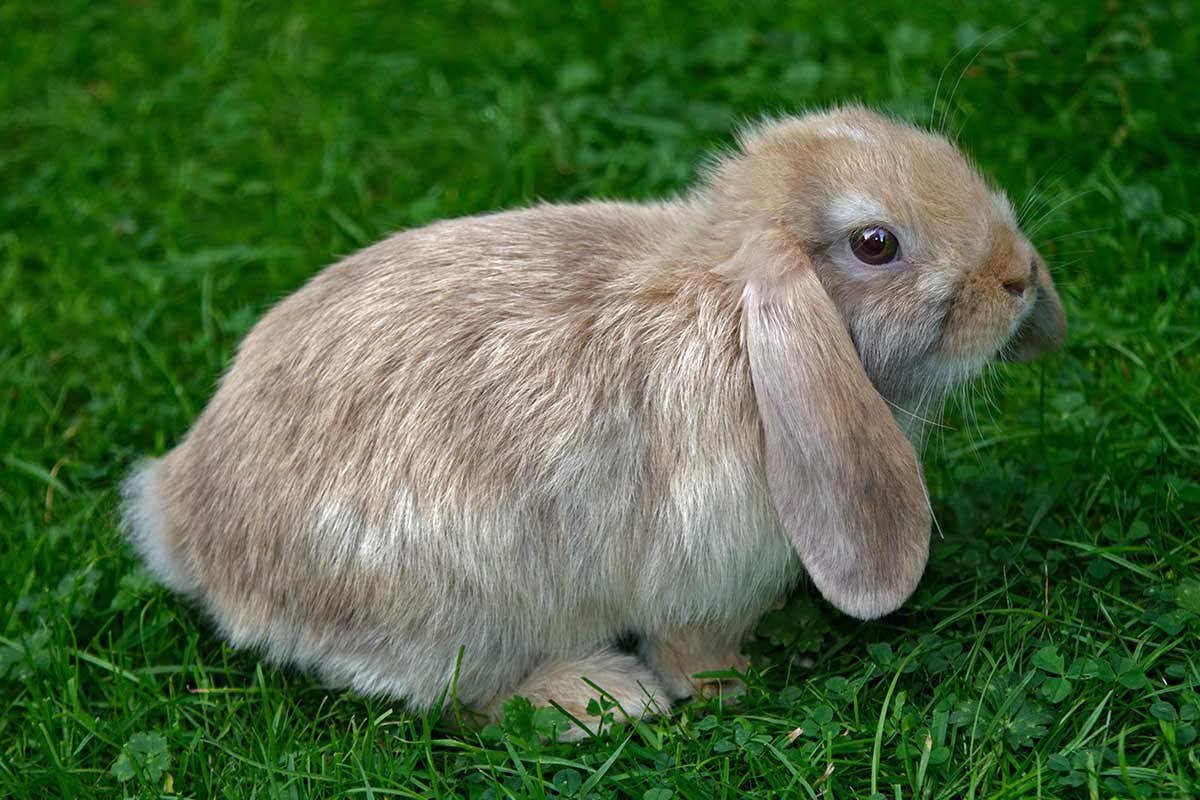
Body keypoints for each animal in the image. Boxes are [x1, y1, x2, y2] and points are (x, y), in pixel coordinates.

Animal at [117, 106, 1065, 738]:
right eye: (876, 244)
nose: (1017, 277)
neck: (736, 318)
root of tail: (184, 522)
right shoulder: (701, 573)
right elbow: (693, 648)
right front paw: (733, 685)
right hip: (466, 603)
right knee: (466, 698)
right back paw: (603, 697)